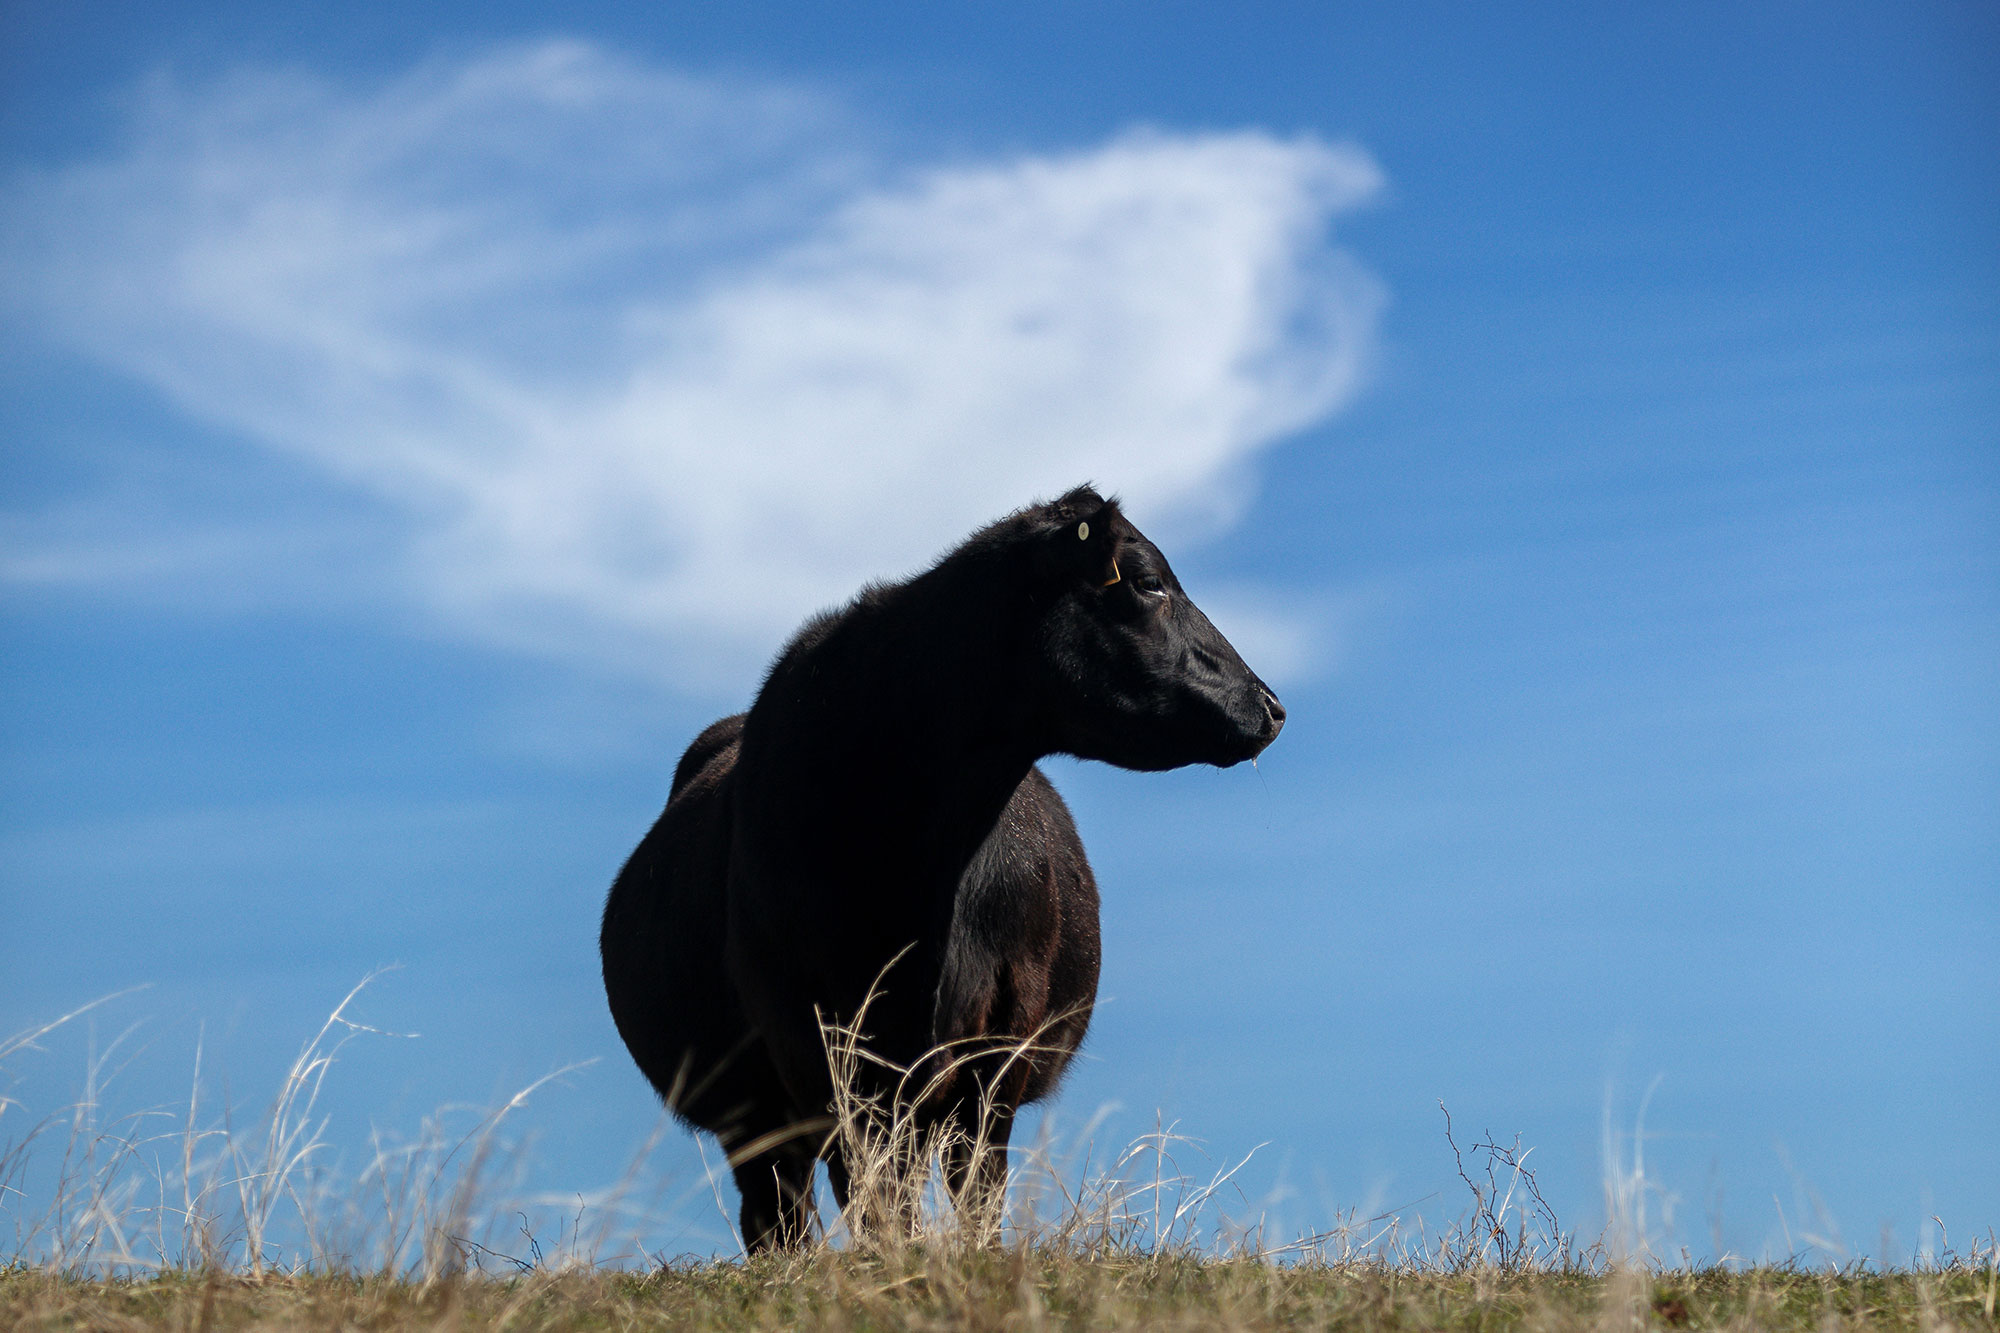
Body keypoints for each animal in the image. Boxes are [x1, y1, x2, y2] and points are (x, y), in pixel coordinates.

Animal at [599, 486, 1284, 1251]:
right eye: (1146, 582)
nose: (1270, 705)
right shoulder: (814, 1039)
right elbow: (873, 1195)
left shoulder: (1001, 1037)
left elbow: (977, 1185)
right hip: (751, 1109)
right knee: (778, 1215)